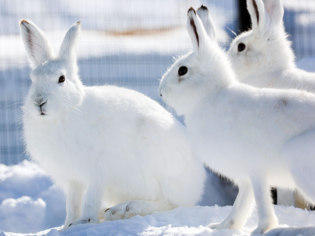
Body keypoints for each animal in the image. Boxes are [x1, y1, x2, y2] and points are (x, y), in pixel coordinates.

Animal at [21, 19, 206, 229]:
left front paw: (85, 221)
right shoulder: (74, 179)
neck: (66, 111)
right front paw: (67, 225)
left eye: (61, 79)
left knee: (167, 203)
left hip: (156, 167)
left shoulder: (97, 171)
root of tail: (197, 185)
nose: (39, 102)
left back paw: (125, 209)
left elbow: (90, 199)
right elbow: (72, 203)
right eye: (33, 80)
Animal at [160, 7, 315, 234]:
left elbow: (262, 204)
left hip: (298, 160)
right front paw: (220, 227)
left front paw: (262, 230)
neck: (209, 95)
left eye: (182, 70)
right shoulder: (246, 179)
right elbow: (241, 205)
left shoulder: (256, 171)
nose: (161, 92)